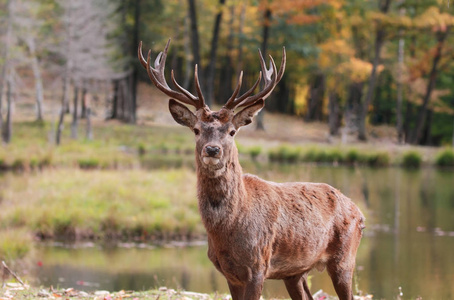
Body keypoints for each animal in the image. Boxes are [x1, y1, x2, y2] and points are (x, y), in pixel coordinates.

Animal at [137, 40, 366, 300]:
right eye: (196, 129)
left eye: (232, 131)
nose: (212, 149)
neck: (228, 229)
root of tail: (360, 212)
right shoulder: (229, 273)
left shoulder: (258, 265)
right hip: (295, 272)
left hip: (345, 257)